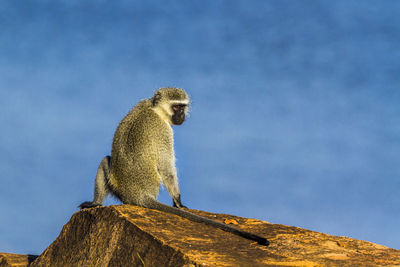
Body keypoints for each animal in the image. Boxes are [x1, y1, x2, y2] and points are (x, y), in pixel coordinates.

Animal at [79, 88, 268, 247]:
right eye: (176, 107)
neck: (154, 109)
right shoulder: (164, 131)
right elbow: (166, 167)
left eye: (183, 106)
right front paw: (178, 201)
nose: (182, 115)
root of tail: (137, 195)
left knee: (105, 160)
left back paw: (95, 203)